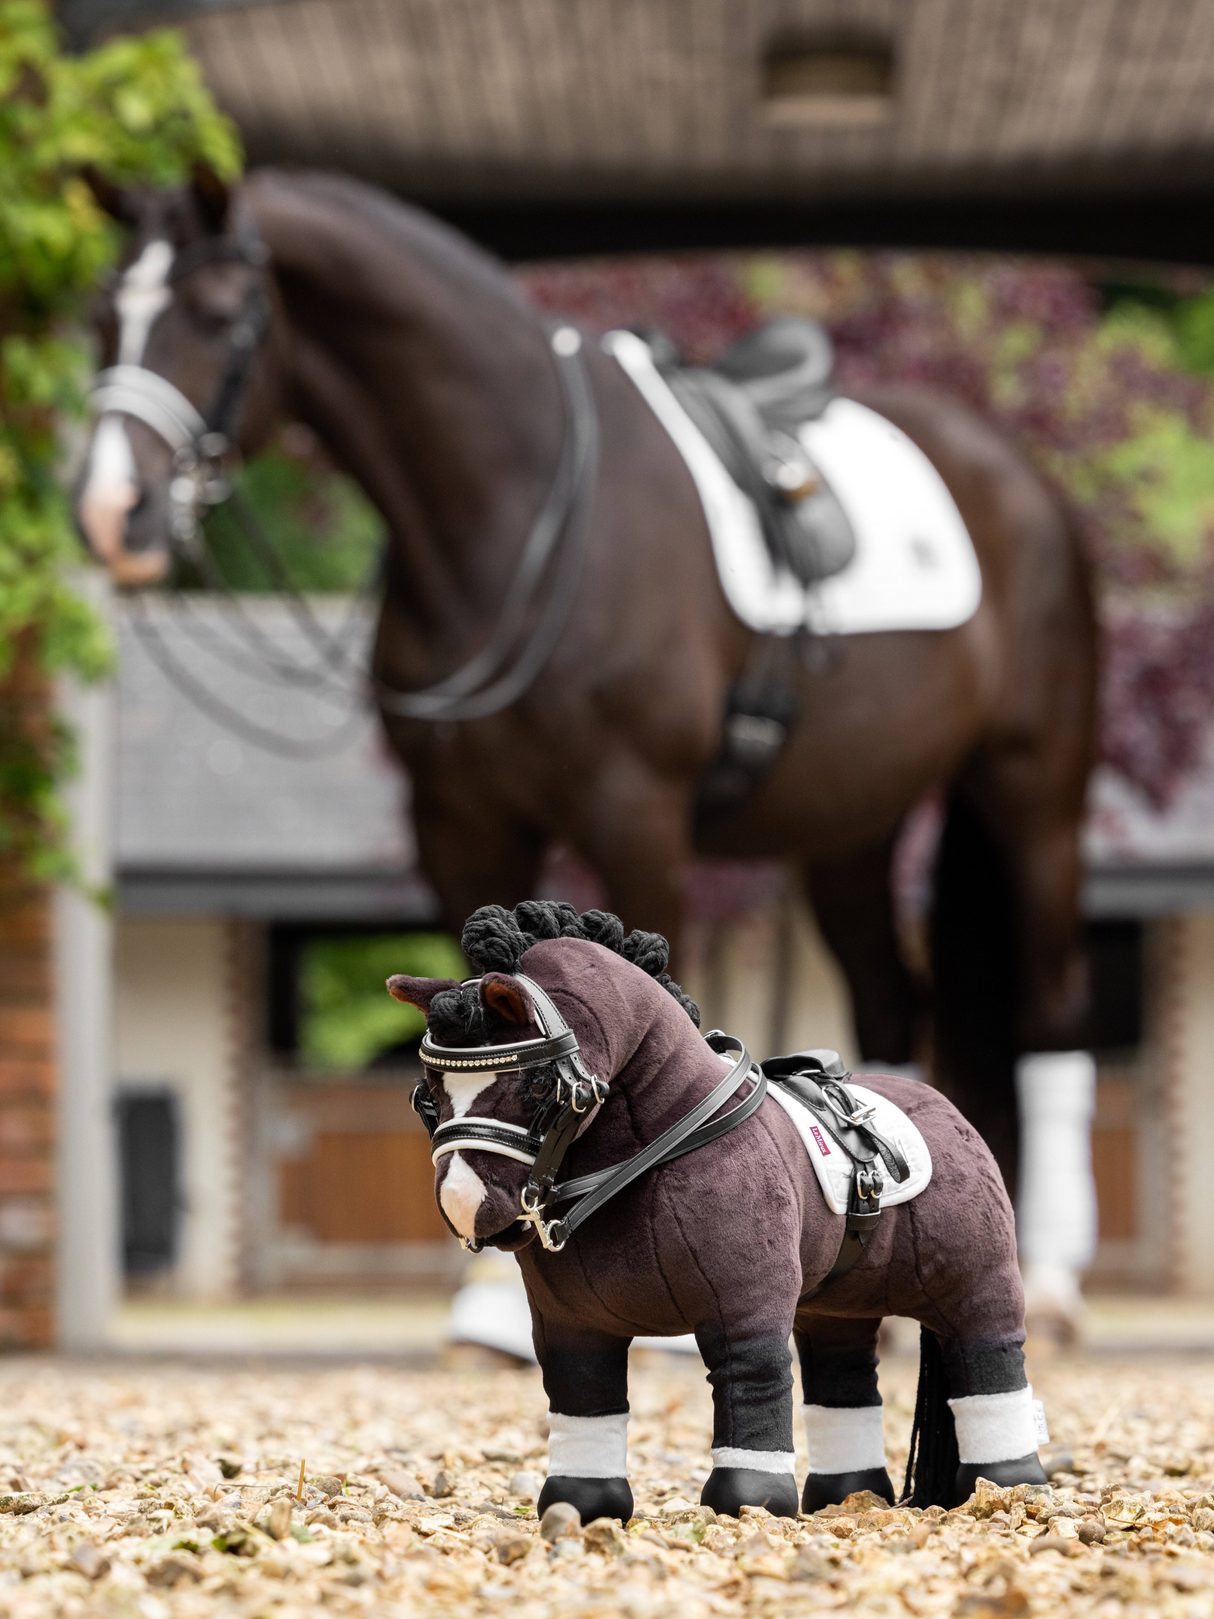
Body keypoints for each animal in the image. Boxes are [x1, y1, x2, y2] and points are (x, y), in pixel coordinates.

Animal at [78, 170, 1100, 1321]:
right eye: (103, 315)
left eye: (217, 316)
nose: (110, 510)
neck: (521, 517)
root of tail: (1021, 480)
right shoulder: (458, 819)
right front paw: (490, 1297)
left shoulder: (634, 809)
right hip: (852, 822)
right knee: (888, 992)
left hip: (1034, 790)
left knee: (1052, 1001)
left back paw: (1052, 1272)